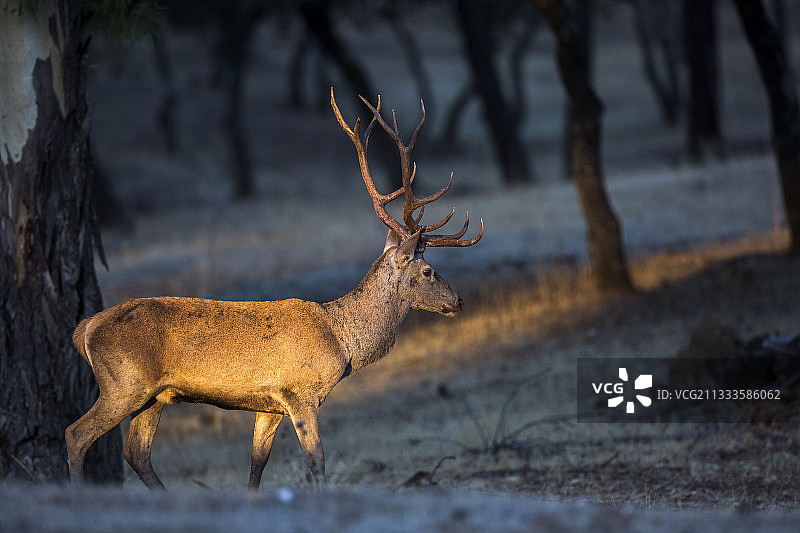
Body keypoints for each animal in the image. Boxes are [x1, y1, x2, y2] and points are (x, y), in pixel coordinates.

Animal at [65, 88, 483, 491]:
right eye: (428, 271)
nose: (459, 301)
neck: (342, 340)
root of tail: (84, 329)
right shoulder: (301, 392)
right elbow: (316, 462)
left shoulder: (269, 405)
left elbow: (257, 464)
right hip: (124, 382)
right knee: (76, 434)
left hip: (154, 394)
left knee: (135, 452)